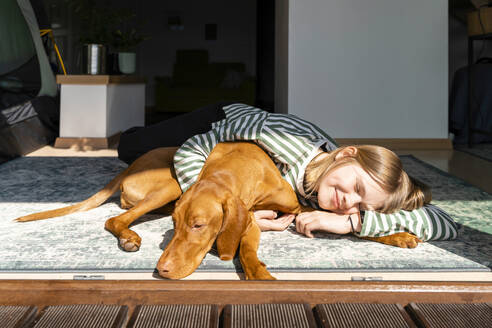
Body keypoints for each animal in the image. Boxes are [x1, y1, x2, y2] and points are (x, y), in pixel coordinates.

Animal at [17, 141, 420, 280]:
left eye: (198, 225)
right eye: (174, 226)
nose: (161, 270)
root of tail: (129, 168)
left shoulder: (293, 204)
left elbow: (342, 221)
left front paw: (399, 235)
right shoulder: (251, 217)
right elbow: (246, 247)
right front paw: (259, 275)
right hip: (169, 185)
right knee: (115, 218)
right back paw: (130, 237)